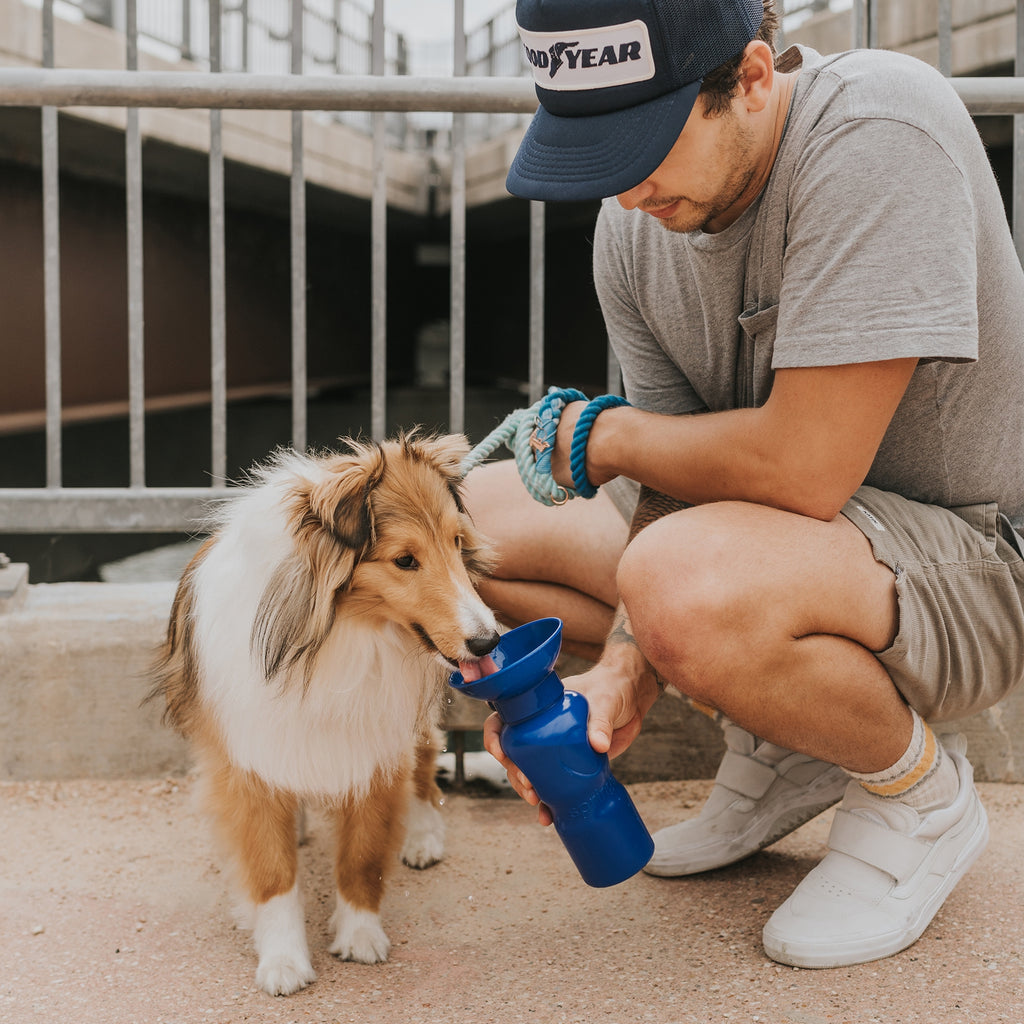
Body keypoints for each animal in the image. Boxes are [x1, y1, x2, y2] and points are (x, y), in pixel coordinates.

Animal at [150, 430, 499, 991]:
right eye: (405, 560)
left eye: (456, 544)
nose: (488, 641)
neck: (338, 633)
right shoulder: (247, 758)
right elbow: (272, 870)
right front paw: (283, 959)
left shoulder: (376, 748)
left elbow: (362, 856)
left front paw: (359, 936)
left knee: (426, 764)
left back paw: (423, 836)